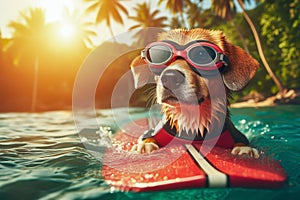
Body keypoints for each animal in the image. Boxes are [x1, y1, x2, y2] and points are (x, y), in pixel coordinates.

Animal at [130, 28, 258, 159]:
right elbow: (148, 138)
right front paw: (146, 144)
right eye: (160, 55)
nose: (170, 77)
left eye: (202, 55)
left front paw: (245, 149)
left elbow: (241, 141)